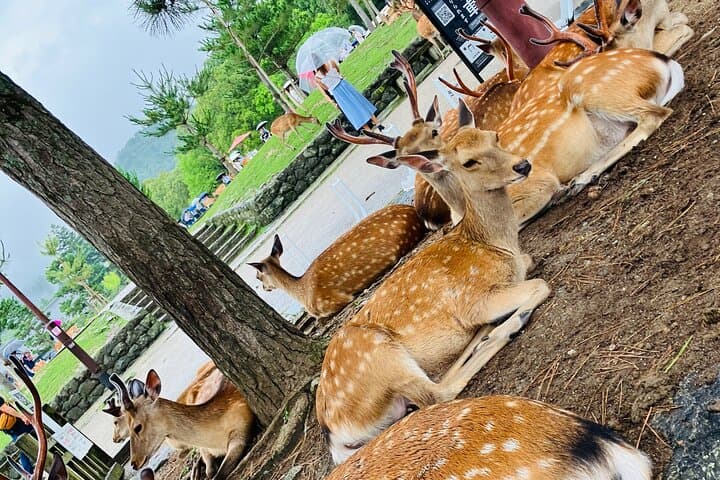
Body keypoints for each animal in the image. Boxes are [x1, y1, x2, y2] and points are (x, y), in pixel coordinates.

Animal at [110, 369, 254, 480]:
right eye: (127, 426)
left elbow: (218, 474)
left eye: (137, 427)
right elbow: (209, 470)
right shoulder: (204, 448)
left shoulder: (241, 429)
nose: (134, 463)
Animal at [316, 100, 551, 464]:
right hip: (380, 354)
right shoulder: (473, 298)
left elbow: (531, 264)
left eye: (493, 136)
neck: (493, 243)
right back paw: (500, 330)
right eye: (468, 161)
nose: (522, 164)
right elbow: (540, 284)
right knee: (437, 394)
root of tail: (334, 435)